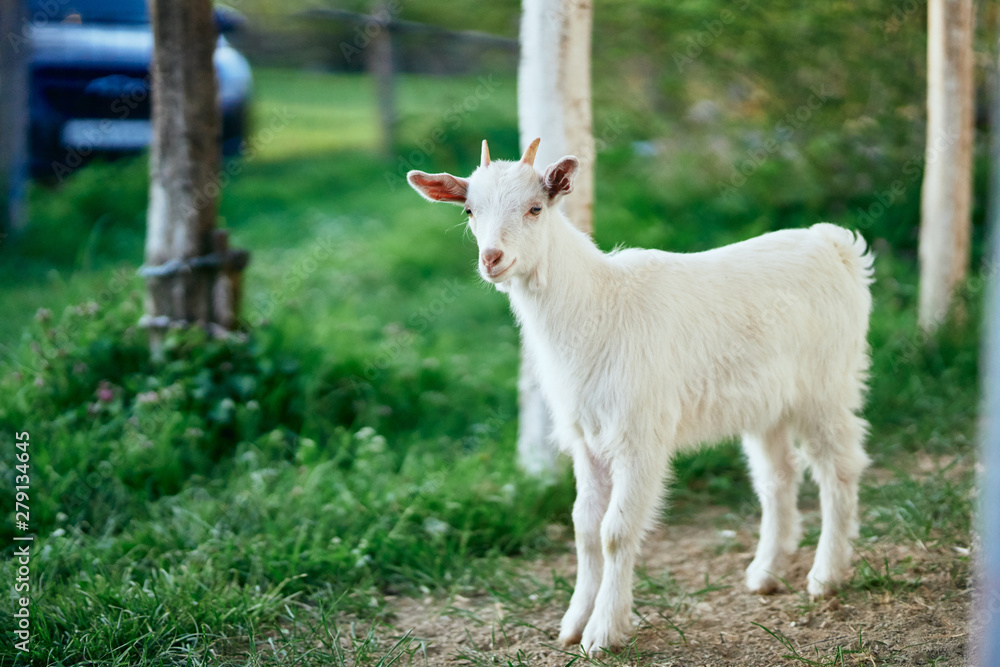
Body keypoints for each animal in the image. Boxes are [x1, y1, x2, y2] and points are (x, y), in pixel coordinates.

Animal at [407, 138, 873, 655]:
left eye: (535, 208)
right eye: (469, 210)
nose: (492, 258)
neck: (599, 305)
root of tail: (834, 244)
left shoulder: (638, 434)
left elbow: (615, 531)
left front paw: (603, 631)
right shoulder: (586, 437)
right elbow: (584, 528)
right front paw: (573, 622)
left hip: (827, 384)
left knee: (838, 468)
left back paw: (826, 575)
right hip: (767, 402)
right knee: (777, 475)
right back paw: (765, 573)